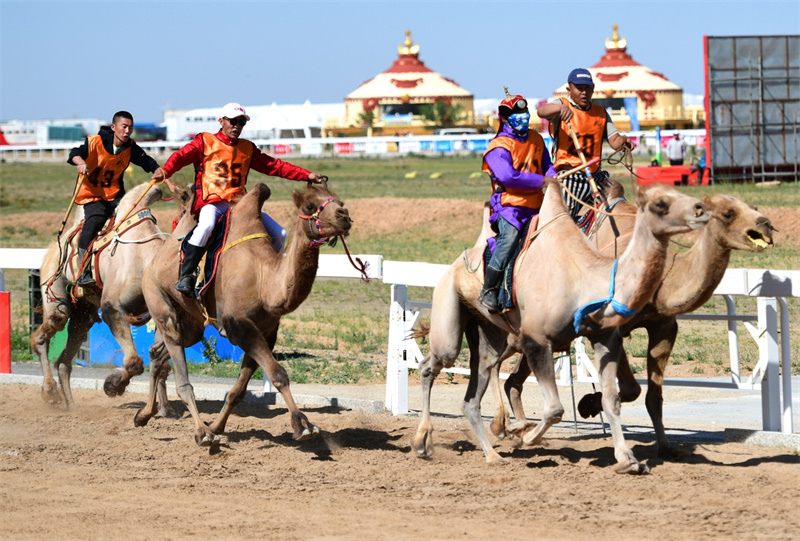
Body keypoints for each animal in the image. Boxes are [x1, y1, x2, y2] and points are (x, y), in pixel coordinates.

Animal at [32, 179, 175, 412]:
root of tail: (54, 247)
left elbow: (157, 360)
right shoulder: (111, 306)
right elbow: (134, 361)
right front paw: (112, 386)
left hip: (83, 314)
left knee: (65, 359)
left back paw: (72, 406)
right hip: (54, 289)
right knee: (45, 333)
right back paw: (49, 391)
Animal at [137, 179, 354, 446]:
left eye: (340, 201)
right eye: (310, 205)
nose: (344, 216)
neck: (264, 281)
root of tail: (154, 262)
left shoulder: (266, 331)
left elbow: (238, 391)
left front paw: (218, 426)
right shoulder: (237, 325)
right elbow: (278, 373)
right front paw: (303, 426)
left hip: (191, 323)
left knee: (158, 353)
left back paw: (144, 415)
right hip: (158, 300)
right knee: (181, 373)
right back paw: (201, 433)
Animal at [410, 178, 708, 472]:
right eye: (661, 203)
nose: (701, 208)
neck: (587, 279)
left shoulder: (606, 337)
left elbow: (612, 399)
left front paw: (627, 460)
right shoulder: (536, 340)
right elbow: (554, 408)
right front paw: (526, 435)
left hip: (489, 330)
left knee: (476, 385)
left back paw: (493, 455)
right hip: (449, 313)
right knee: (431, 364)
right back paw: (422, 443)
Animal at [496, 181, 772, 456]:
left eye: (753, 206)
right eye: (728, 213)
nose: (766, 224)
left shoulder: (664, 326)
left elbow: (653, 397)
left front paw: (666, 447)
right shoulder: (613, 326)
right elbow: (631, 388)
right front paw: (589, 403)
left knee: (513, 380)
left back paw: (518, 430)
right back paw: (512, 428)